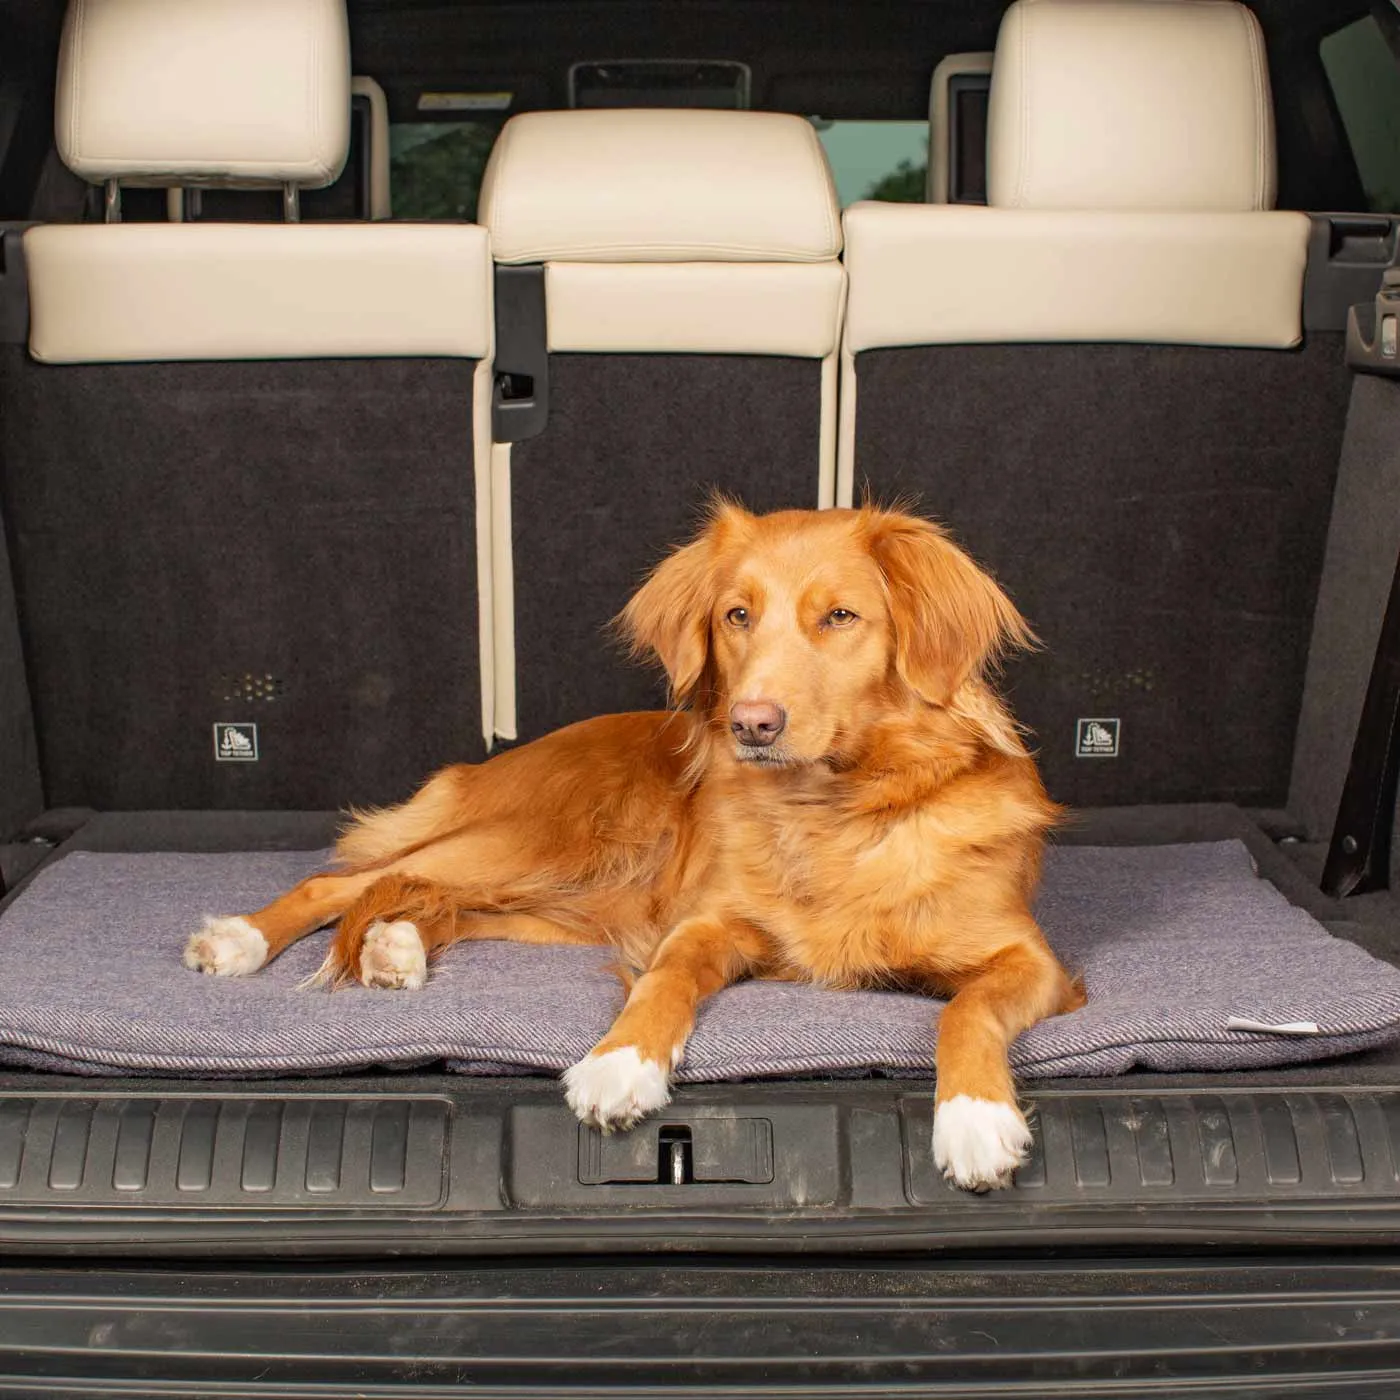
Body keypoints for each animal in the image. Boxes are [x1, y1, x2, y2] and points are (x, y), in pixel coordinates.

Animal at [183, 504, 1080, 1192]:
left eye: (840, 617)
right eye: (736, 615)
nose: (753, 724)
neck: (835, 811)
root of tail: (493, 761)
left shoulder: (1033, 962)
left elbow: (967, 1008)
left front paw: (974, 1118)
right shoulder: (706, 923)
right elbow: (665, 978)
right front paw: (621, 1062)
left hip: (567, 901)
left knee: (437, 902)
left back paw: (395, 947)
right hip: (537, 846)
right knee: (349, 879)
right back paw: (242, 939)